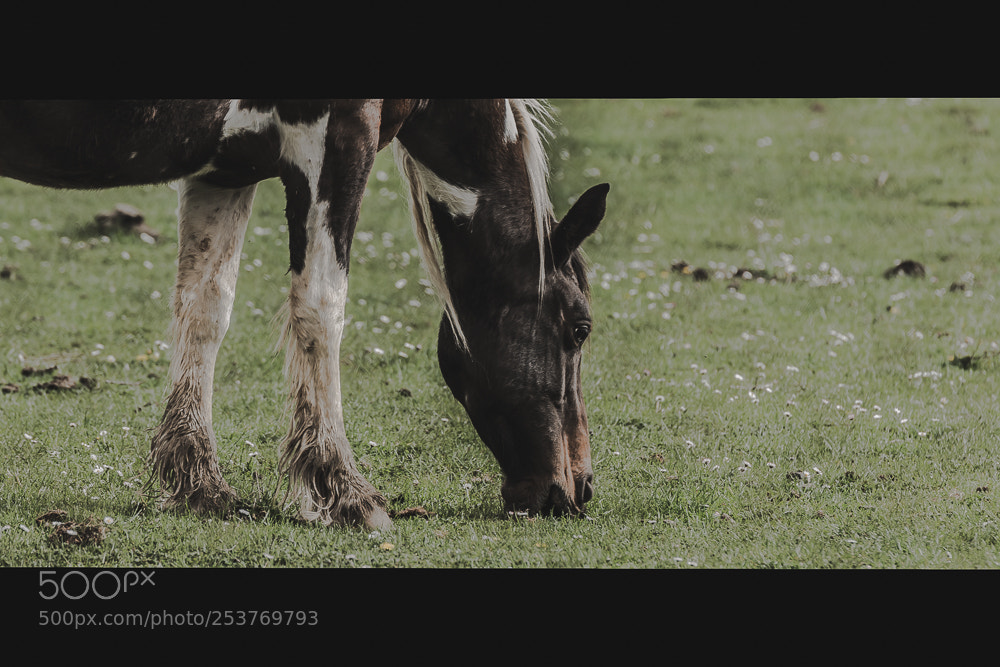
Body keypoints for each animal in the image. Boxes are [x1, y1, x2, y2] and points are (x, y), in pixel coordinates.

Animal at [0, 100, 609, 530]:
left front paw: (199, 484)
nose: (578, 488)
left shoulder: (224, 171)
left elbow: (204, 308)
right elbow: (320, 308)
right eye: (579, 329)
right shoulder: (336, 144)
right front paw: (344, 492)